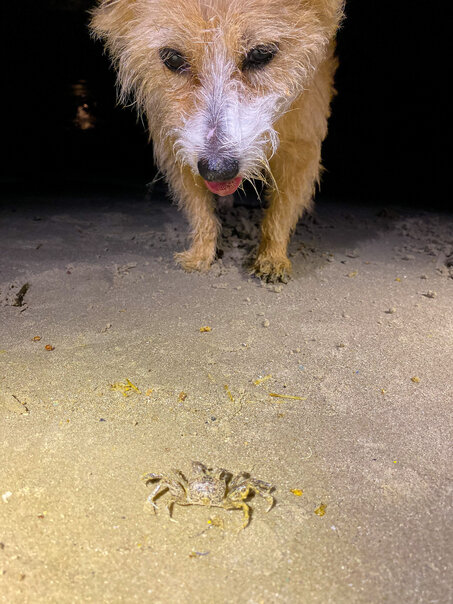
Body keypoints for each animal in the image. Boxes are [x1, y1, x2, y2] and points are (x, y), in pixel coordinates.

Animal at [90, 0, 344, 282]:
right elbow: (199, 209)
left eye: (261, 54)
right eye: (173, 58)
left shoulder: (302, 146)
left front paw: (272, 257)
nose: (217, 170)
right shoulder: (177, 143)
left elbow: (282, 211)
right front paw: (201, 254)